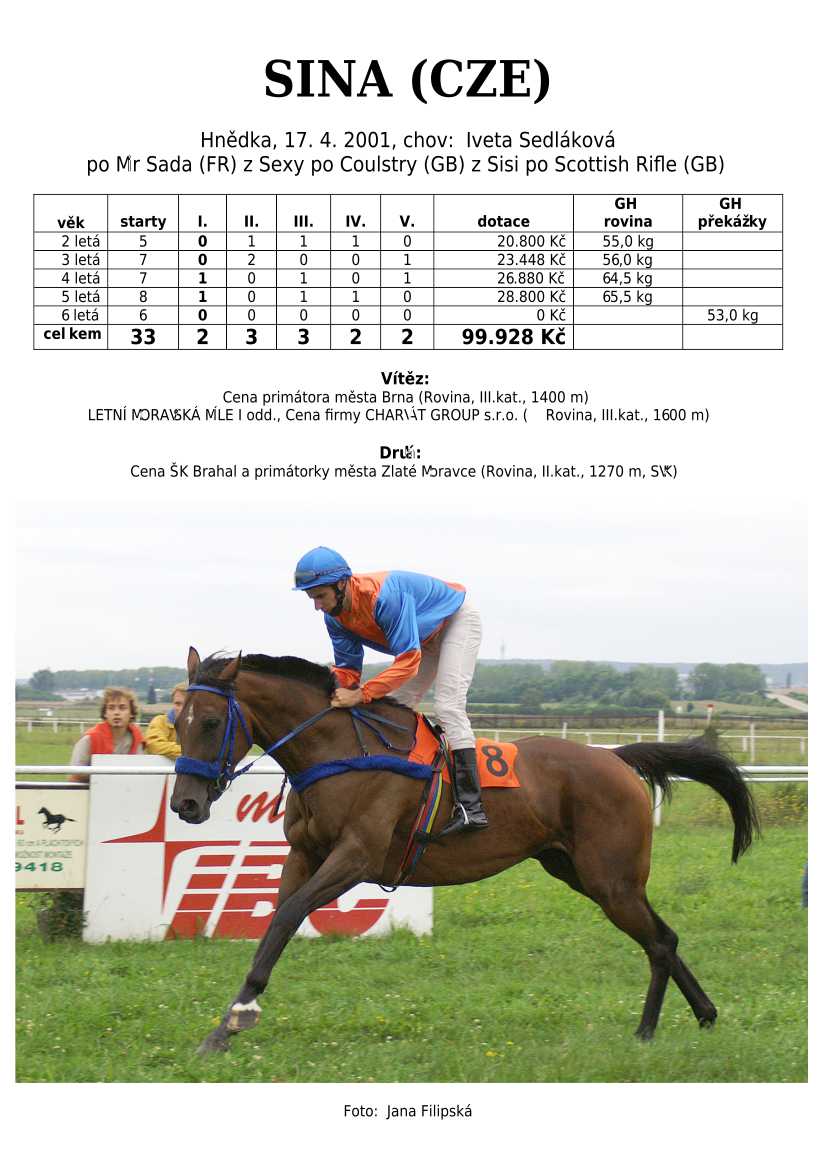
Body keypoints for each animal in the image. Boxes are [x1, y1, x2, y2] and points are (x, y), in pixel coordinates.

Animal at [171, 647, 759, 1056]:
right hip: (582, 873)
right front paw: (224, 1026)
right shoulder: (304, 854)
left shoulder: (356, 857)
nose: (185, 803)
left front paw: (240, 1013)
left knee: (658, 942)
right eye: (176, 722)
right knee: (665, 937)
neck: (337, 751)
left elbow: (290, 914)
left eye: (212, 722)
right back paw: (705, 1013)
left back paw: (645, 1031)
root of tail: (615, 757)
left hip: (610, 880)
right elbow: (275, 923)